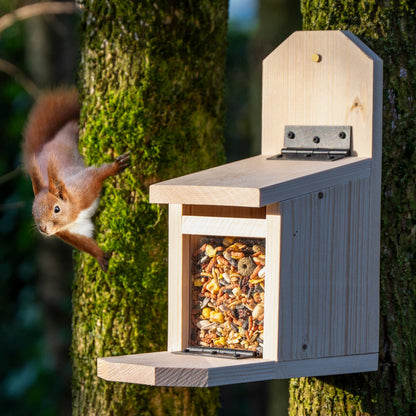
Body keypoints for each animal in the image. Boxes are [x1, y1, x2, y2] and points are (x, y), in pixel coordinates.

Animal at [22, 88, 129, 272]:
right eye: (33, 212)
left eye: (57, 209)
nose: (43, 229)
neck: (72, 214)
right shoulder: (71, 232)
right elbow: (85, 243)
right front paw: (100, 256)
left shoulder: (84, 189)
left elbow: (98, 173)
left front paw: (115, 167)